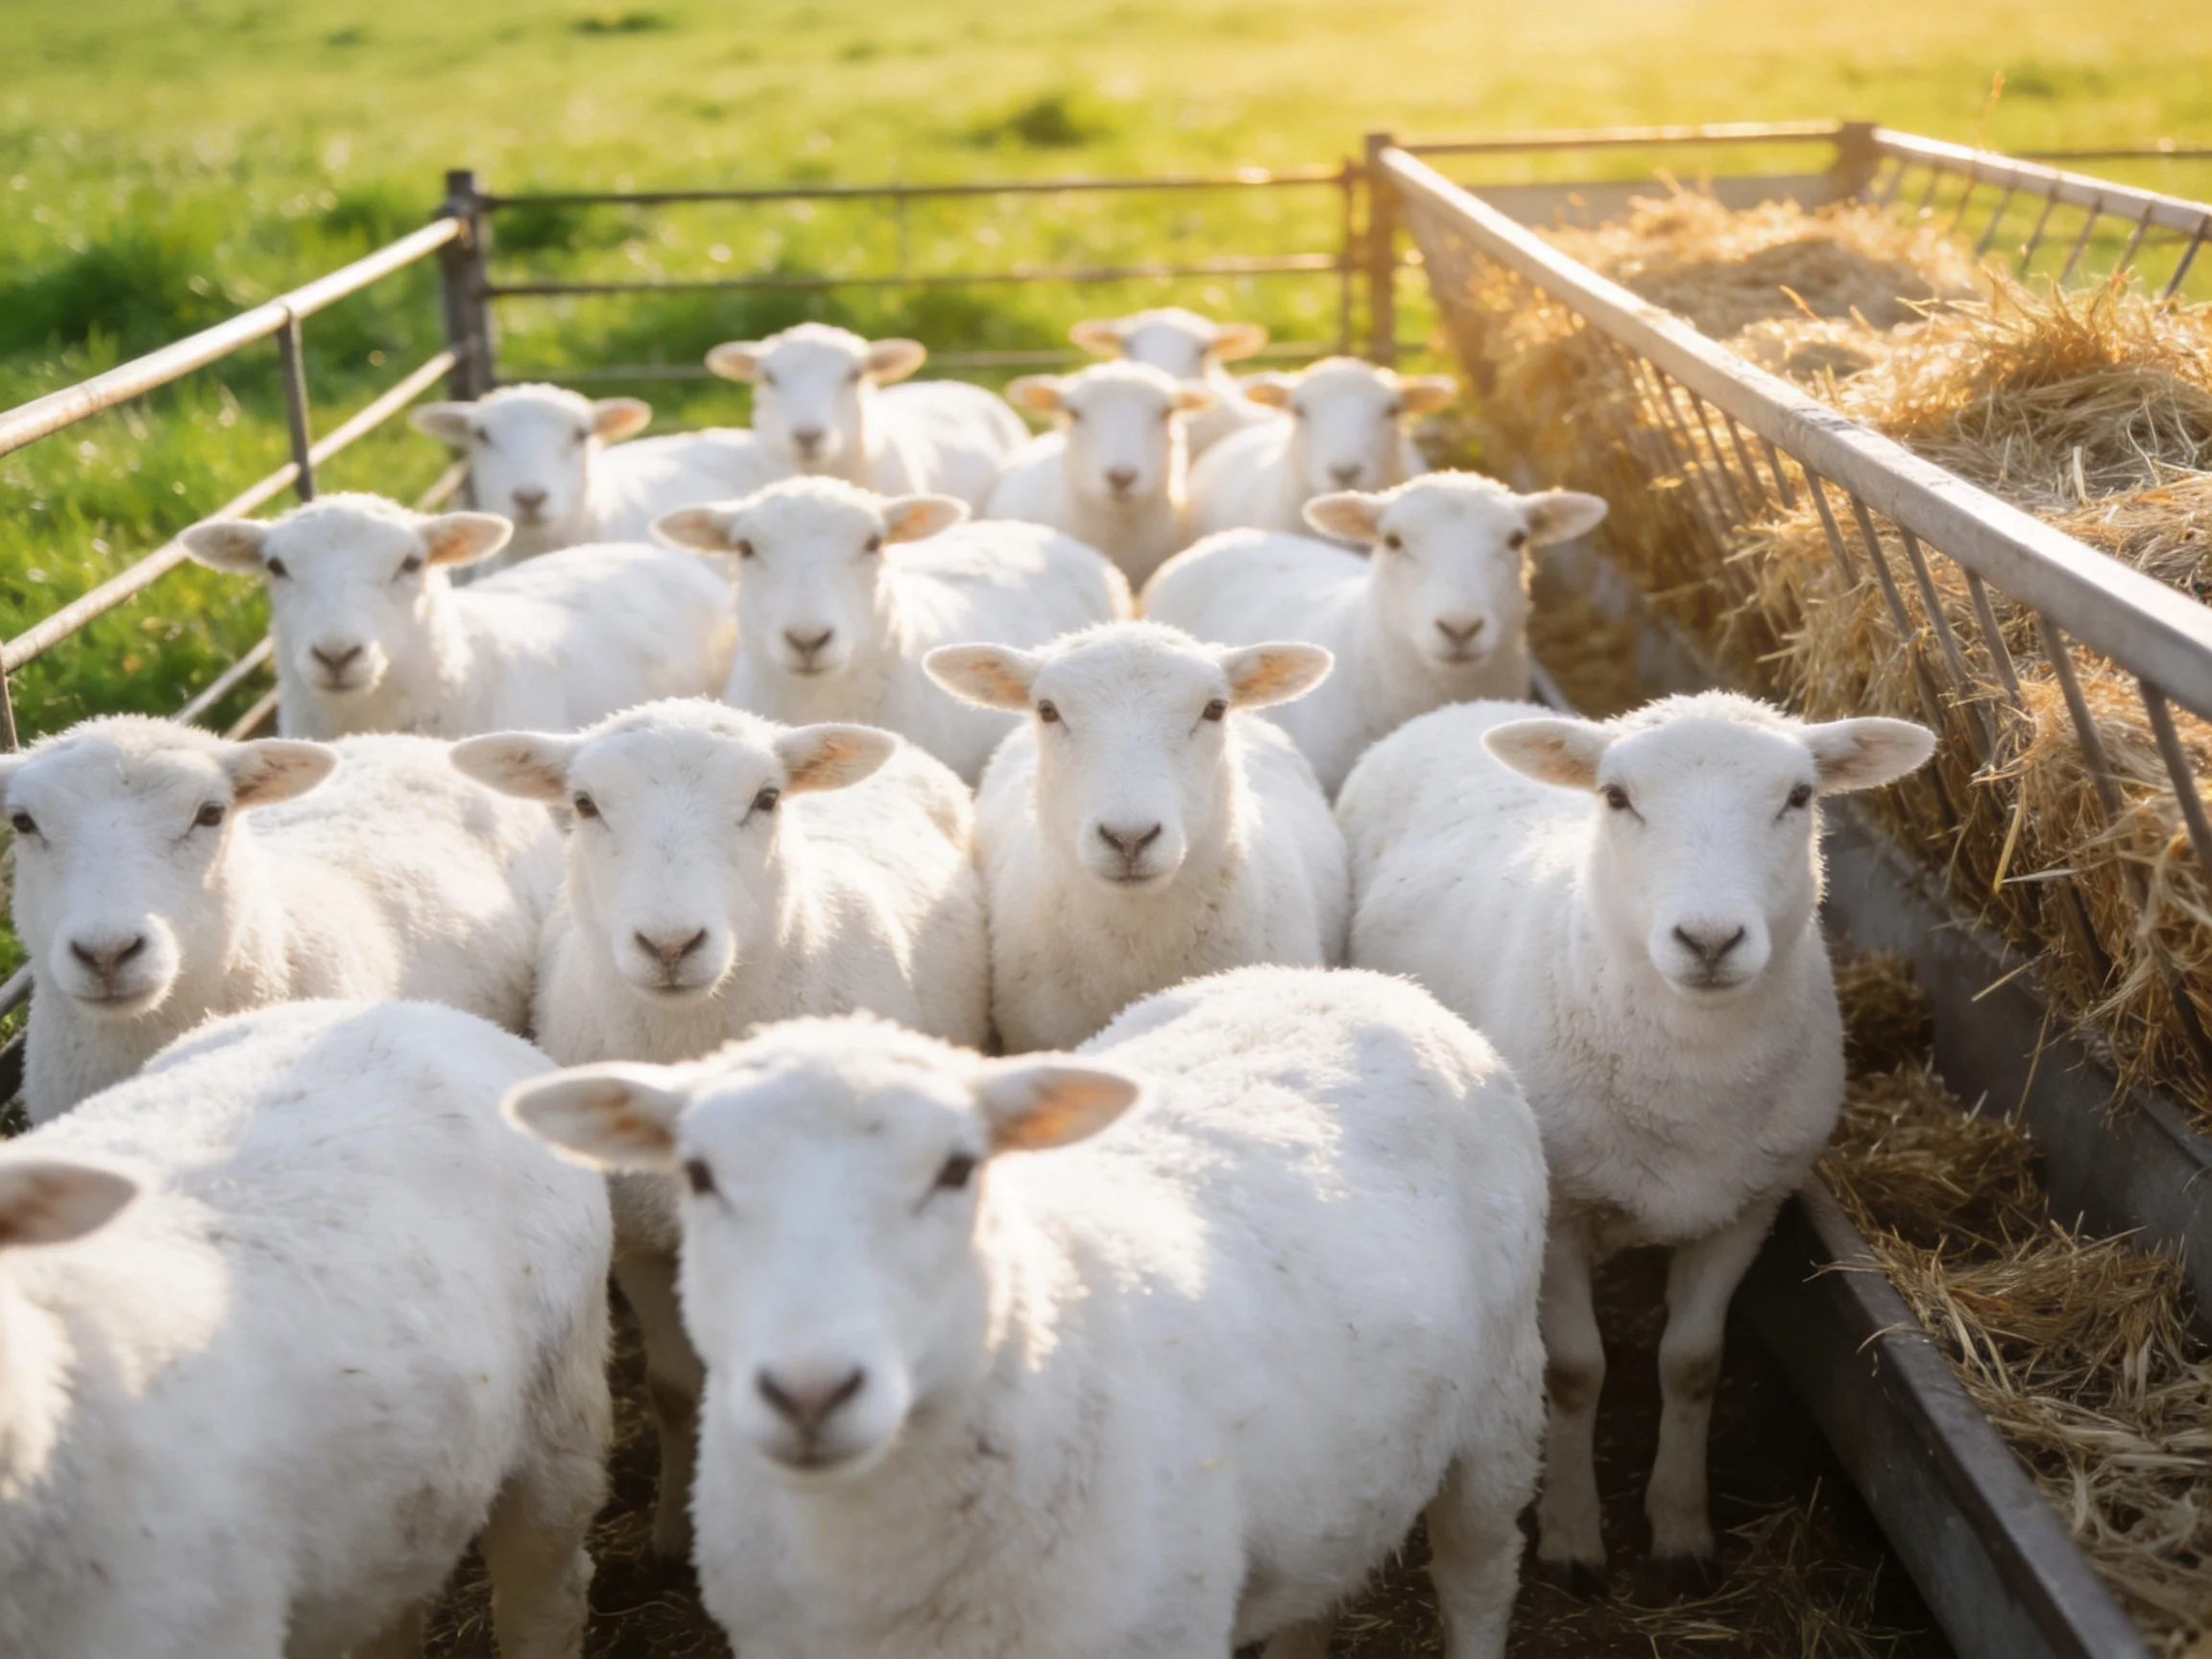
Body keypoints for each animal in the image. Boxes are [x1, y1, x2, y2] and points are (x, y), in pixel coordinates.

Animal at [453, 695, 989, 1559]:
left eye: (766, 799)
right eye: (584, 804)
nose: (671, 944)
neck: (695, 1042)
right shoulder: (638, 1235)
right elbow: (673, 1387)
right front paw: (675, 1530)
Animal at [507, 964, 1547, 1659]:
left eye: (958, 1169)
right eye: (698, 1174)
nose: (810, 1391)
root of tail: (1345, 977)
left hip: (1501, 1410)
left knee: (1479, 1575)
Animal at [1336, 692, 1935, 1582]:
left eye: (1799, 796)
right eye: (1617, 797)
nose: (1710, 940)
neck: (1691, 1079)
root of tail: (1475, 705)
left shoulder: (1747, 1208)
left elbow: (1692, 1365)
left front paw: (1681, 1527)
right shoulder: (1558, 1215)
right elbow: (1576, 1371)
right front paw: (1572, 1535)